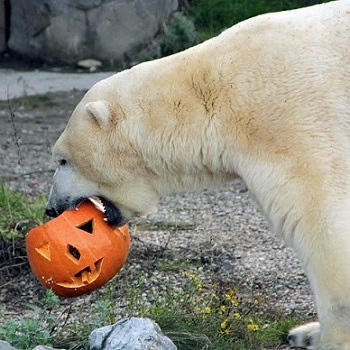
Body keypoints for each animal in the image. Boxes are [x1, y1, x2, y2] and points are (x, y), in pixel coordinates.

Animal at [46, 1, 350, 348]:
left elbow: (320, 219)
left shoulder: (291, 121)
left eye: (63, 160)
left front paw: (323, 337)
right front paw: (307, 332)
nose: (51, 208)